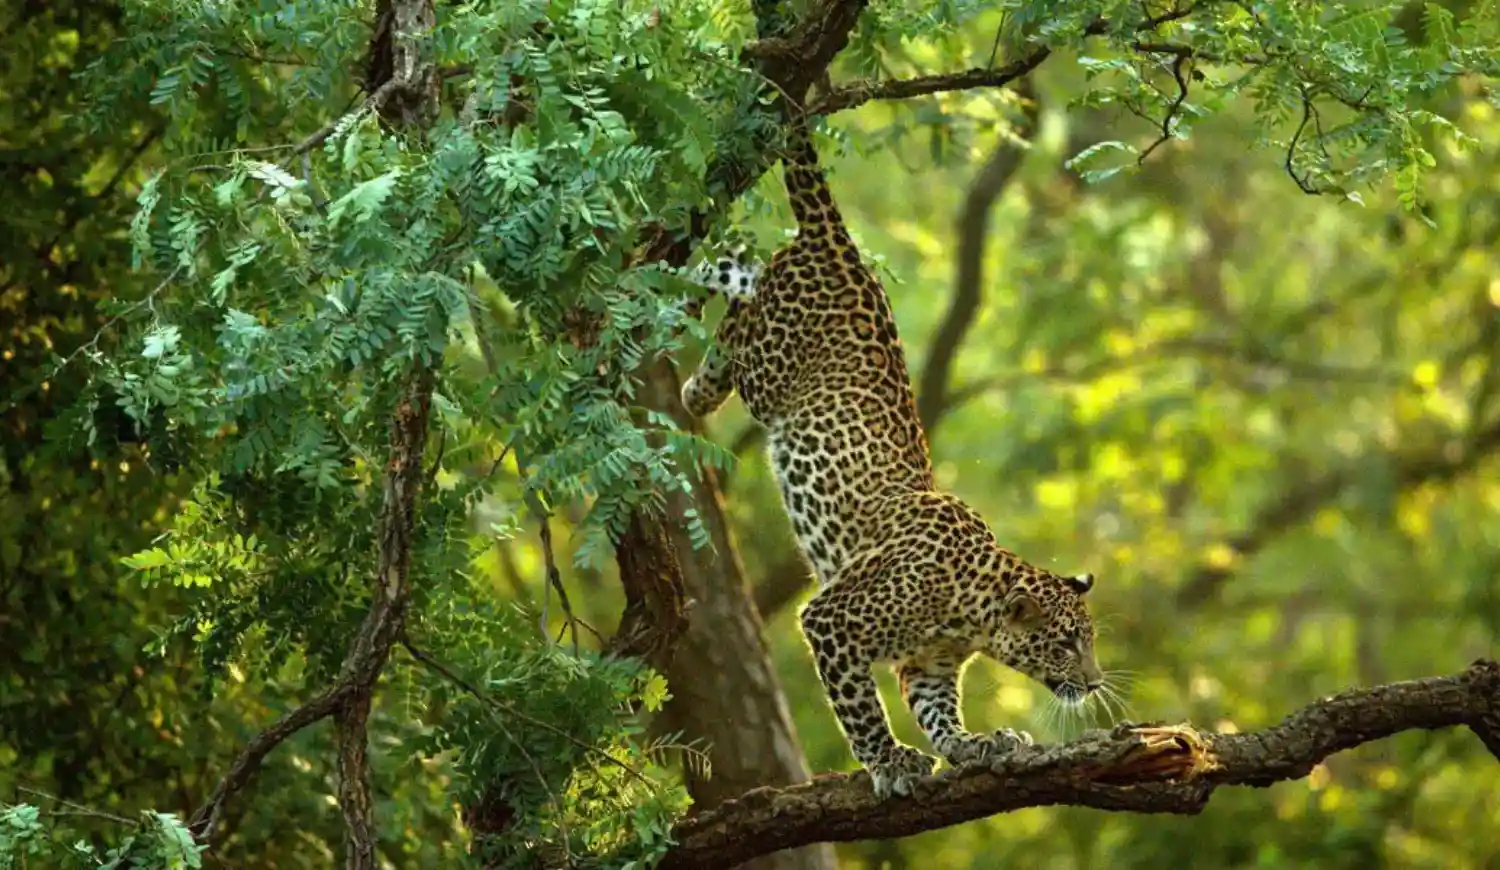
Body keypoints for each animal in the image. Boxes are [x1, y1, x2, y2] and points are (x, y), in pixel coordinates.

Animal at [680, 117, 1105, 799]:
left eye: (1088, 642)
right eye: (1066, 644)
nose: (1094, 683)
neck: (972, 610)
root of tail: (840, 247)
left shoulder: (926, 667)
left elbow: (939, 714)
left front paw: (975, 743)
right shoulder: (831, 620)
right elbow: (859, 706)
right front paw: (890, 761)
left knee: (742, 267)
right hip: (768, 371)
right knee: (735, 304)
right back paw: (696, 380)